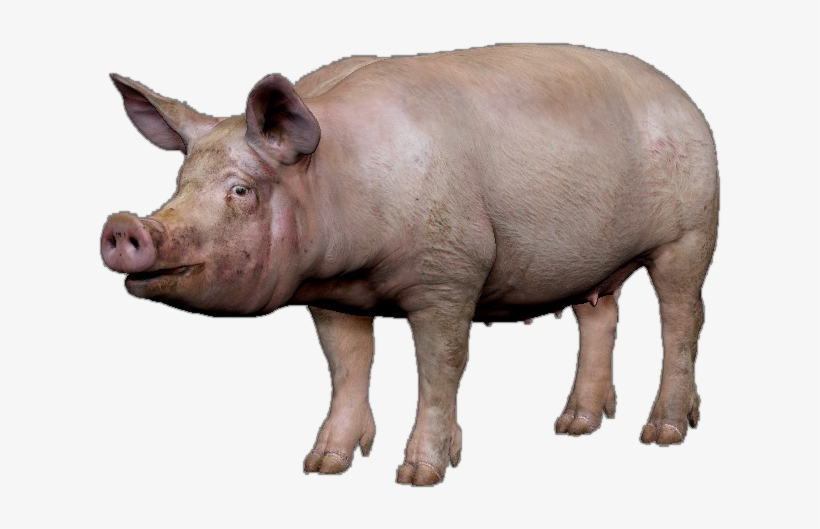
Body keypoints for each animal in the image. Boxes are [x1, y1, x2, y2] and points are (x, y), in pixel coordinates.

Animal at [101, 44, 719, 486]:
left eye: (240, 189)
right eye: (179, 184)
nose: (124, 225)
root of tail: (685, 99)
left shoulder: (451, 271)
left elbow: (440, 367)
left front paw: (418, 476)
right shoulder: (331, 297)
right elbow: (348, 366)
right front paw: (322, 466)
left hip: (692, 231)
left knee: (683, 320)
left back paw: (662, 434)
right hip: (595, 263)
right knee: (600, 316)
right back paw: (573, 427)